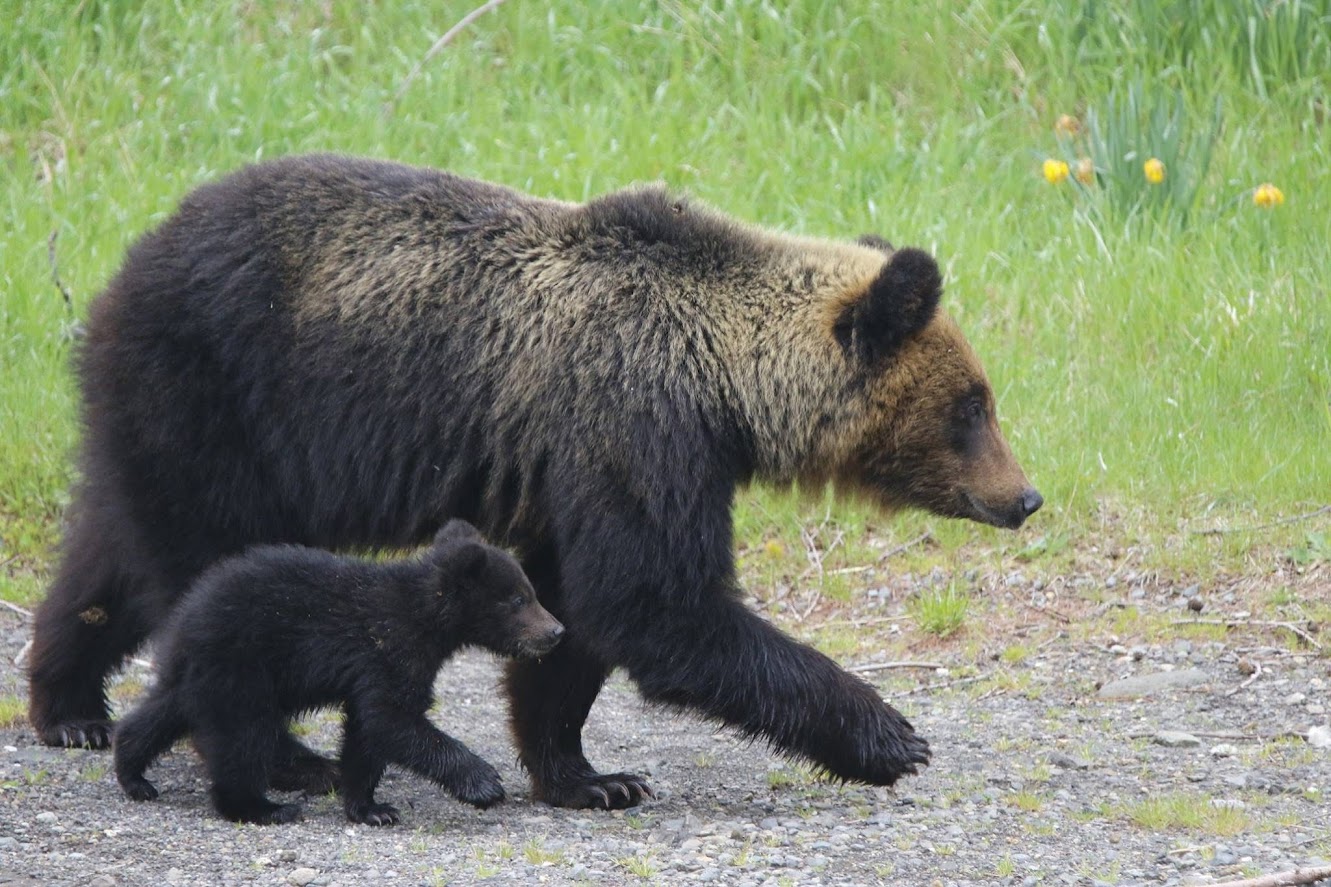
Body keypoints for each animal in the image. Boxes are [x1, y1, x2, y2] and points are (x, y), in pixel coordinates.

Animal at [113, 519, 565, 825]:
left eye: (531, 593)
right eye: (518, 599)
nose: (557, 631)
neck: (426, 617)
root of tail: (185, 615)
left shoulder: (376, 667)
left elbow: (367, 730)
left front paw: (371, 808)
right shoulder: (390, 648)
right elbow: (391, 718)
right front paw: (483, 782)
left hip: (200, 672)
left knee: (163, 712)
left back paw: (133, 774)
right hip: (242, 666)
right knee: (243, 736)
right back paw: (263, 807)